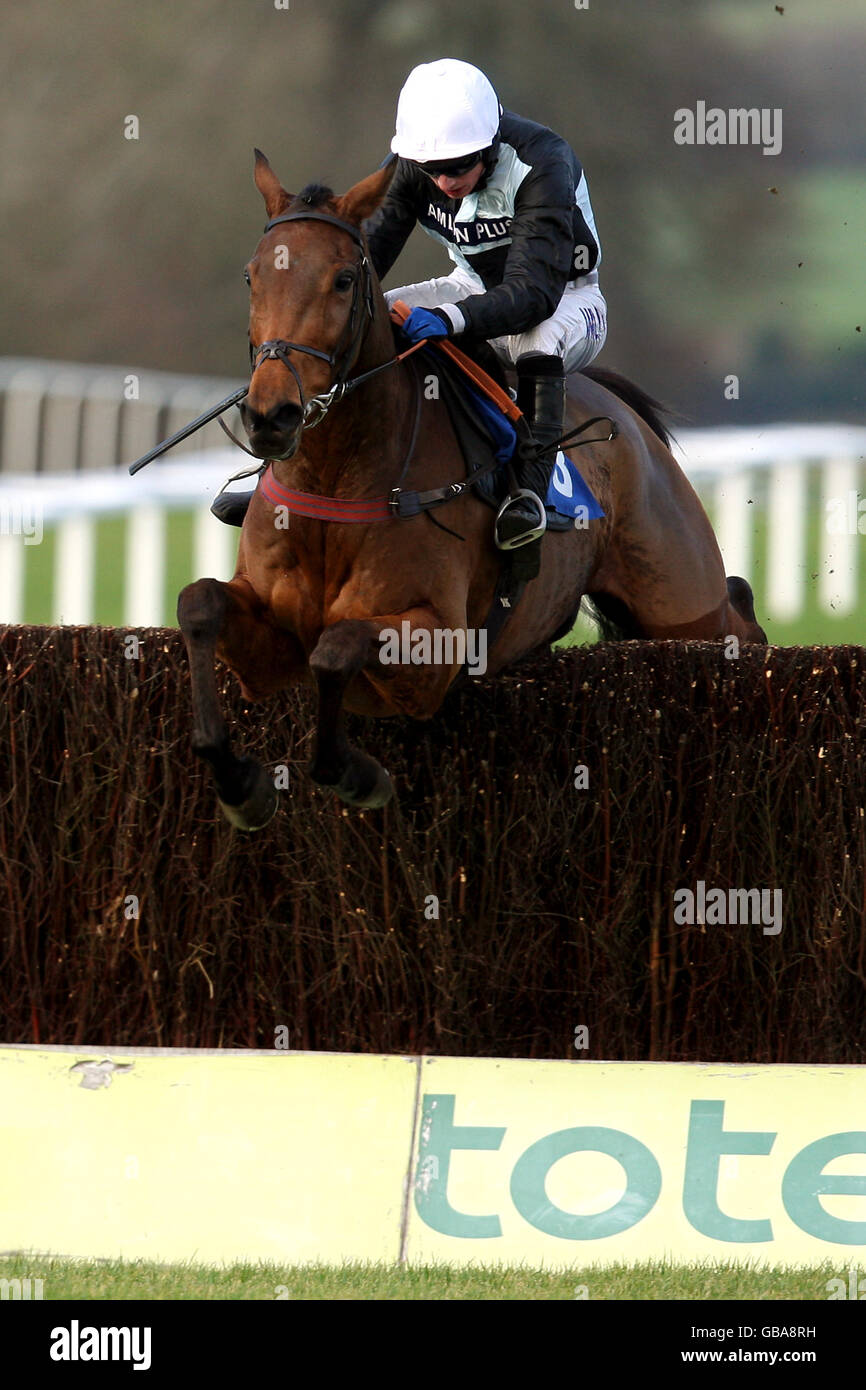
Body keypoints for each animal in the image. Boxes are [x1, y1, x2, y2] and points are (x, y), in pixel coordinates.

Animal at [176, 152, 767, 822]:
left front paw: (355, 773)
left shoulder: (438, 647)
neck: (336, 479)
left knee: (736, 612)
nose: (271, 416)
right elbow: (200, 605)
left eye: (343, 280)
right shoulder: (271, 643)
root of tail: (626, 414)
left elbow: (337, 645)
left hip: (678, 599)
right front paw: (238, 781)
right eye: (252, 277)